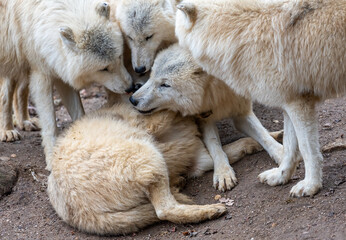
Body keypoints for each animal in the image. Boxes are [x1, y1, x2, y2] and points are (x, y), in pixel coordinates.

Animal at [0, 0, 132, 170]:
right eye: (103, 68)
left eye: (120, 56)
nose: (131, 87)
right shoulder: (41, 74)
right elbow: (50, 124)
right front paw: (52, 157)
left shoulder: (60, 69)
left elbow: (79, 112)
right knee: (6, 95)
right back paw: (7, 130)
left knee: (19, 92)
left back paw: (24, 122)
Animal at [47, 102, 274, 235]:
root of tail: (78, 212)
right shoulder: (155, 122)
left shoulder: (202, 158)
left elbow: (240, 145)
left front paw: (274, 137)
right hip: (148, 156)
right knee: (165, 210)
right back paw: (209, 210)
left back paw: (180, 185)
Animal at [130, 44, 284, 191]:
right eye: (151, 77)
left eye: (165, 85)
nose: (132, 100)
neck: (216, 95)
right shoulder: (204, 119)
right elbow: (214, 145)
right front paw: (223, 173)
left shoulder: (241, 112)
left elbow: (264, 136)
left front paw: (282, 154)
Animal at [176, 0, 346, 196]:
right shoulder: (289, 103)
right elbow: (289, 148)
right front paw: (280, 176)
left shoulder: (299, 104)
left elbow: (307, 150)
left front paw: (311, 185)